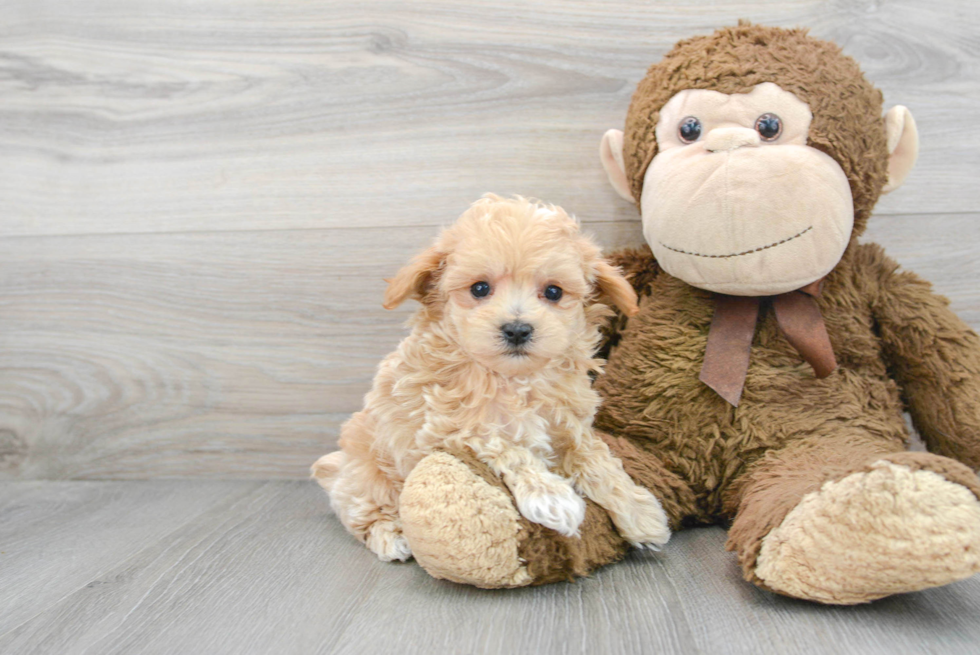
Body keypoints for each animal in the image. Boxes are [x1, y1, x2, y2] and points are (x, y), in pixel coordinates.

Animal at [314, 195, 672, 564]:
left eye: (554, 292)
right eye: (480, 288)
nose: (517, 329)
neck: (514, 380)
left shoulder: (570, 426)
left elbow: (595, 459)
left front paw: (639, 510)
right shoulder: (446, 429)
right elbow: (505, 445)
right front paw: (551, 496)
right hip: (370, 473)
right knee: (363, 511)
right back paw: (390, 535)